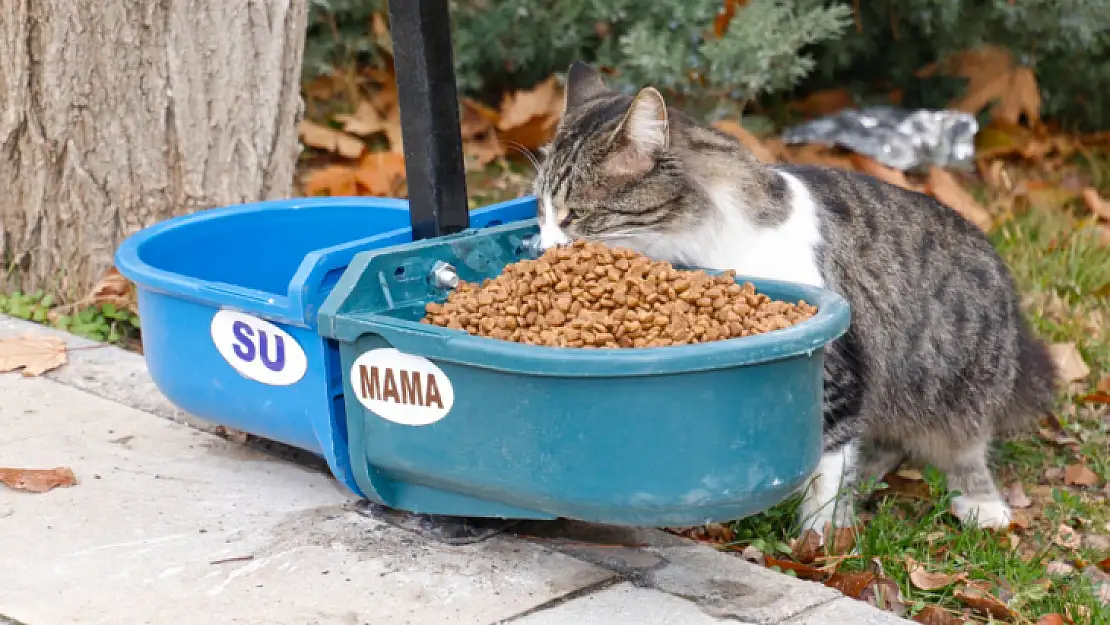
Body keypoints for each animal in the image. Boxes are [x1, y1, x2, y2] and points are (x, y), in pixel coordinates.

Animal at [530, 63, 1056, 539]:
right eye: (539, 210)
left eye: (574, 216)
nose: (542, 250)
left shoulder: (840, 371)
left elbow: (826, 468)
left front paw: (820, 542)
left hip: (956, 383)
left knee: (965, 446)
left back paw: (982, 505)